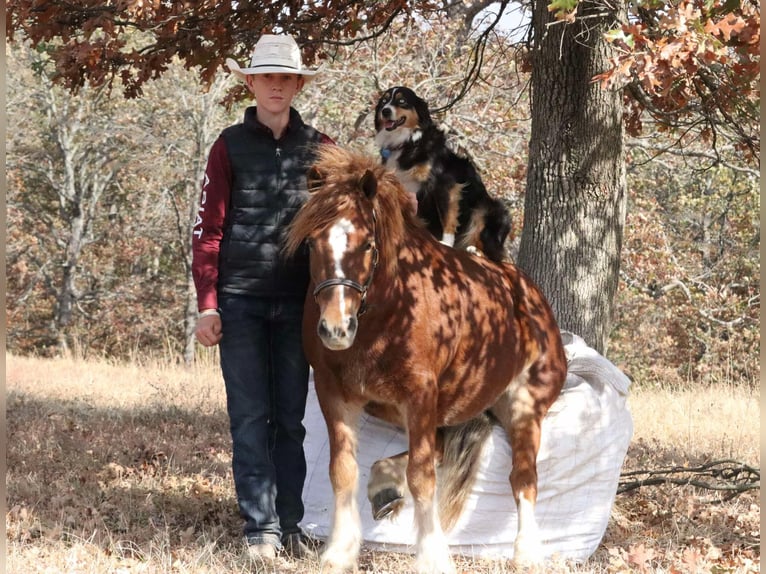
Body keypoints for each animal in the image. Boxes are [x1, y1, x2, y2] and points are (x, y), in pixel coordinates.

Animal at [284, 147, 568, 574]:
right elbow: (343, 471)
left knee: (523, 478)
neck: (390, 312)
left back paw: (528, 552)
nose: (336, 328)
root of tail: (529, 296)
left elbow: (422, 478)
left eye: (367, 244)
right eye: (313, 244)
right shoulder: (334, 393)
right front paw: (339, 551)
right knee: (437, 450)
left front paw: (433, 556)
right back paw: (384, 486)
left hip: (523, 407)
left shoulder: (419, 395)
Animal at [376, 85, 512, 264]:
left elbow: (448, 216)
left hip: (490, 209)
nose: (385, 111)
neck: (407, 142)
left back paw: (476, 251)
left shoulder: (445, 184)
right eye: (384, 101)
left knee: (495, 256)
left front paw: (445, 243)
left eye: (402, 101)